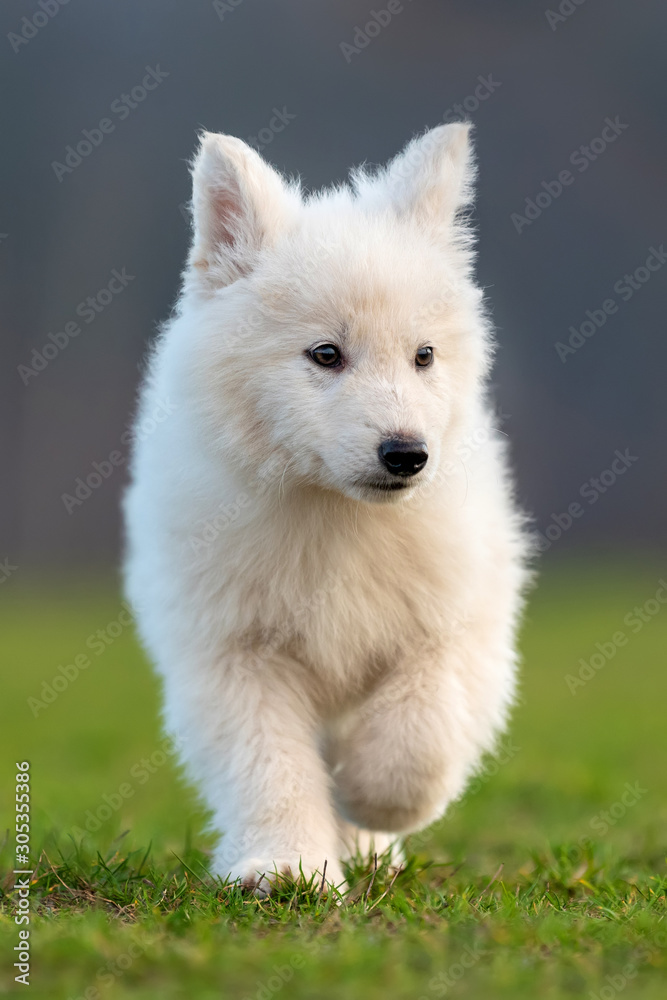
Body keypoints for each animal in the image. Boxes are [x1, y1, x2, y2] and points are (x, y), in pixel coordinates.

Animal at [124, 121, 532, 896]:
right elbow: (269, 765)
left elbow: (420, 731)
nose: (406, 455)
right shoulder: (234, 650)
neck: (336, 516)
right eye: (325, 354)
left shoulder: (457, 621)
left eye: (423, 355)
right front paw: (285, 868)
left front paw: (370, 801)